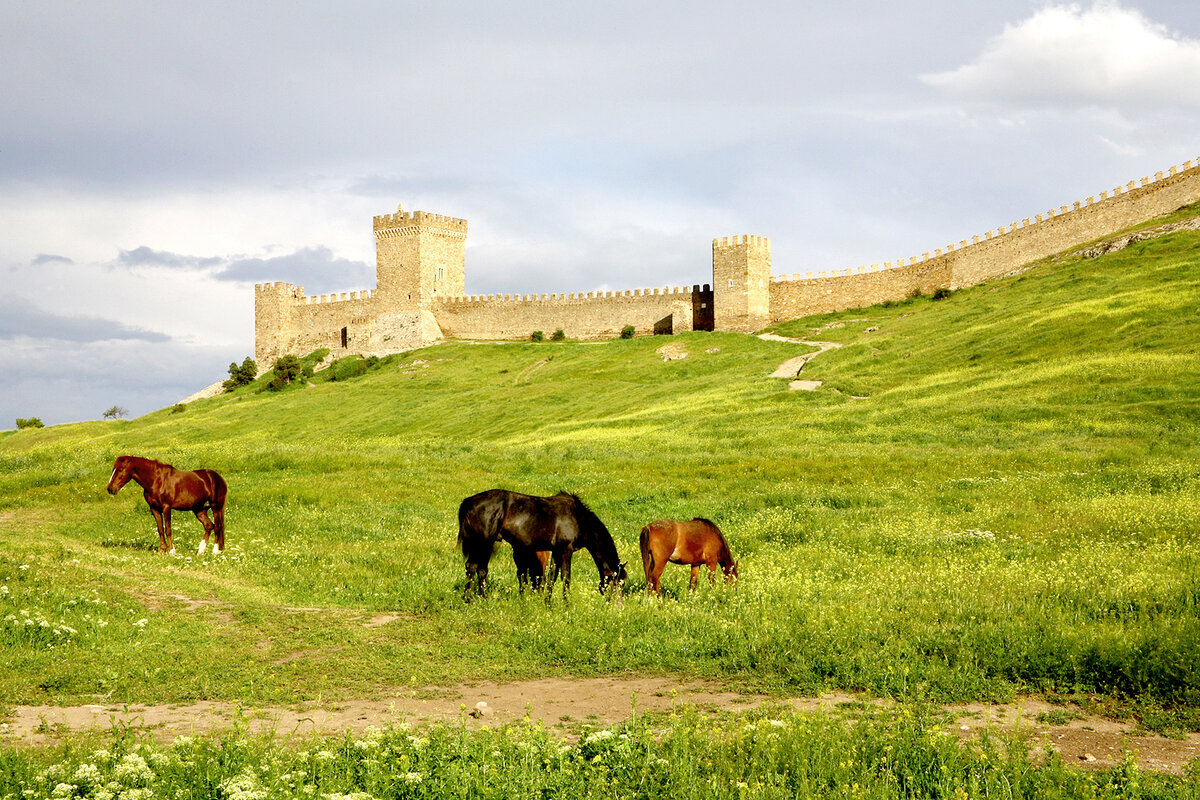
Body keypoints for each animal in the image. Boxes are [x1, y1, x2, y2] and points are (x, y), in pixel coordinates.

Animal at [456, 489, 628, 599]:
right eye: (619, 583)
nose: (619, 605)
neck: (579, 518)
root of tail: (469, 501)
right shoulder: (566, 550)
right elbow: (566, 578)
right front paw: (567, 605)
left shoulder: (557, 551)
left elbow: (552, 577)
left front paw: (548, 604)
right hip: (483, 543)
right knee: (474, 567)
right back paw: (469, 599)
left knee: (480, 569)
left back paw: (481, 597)